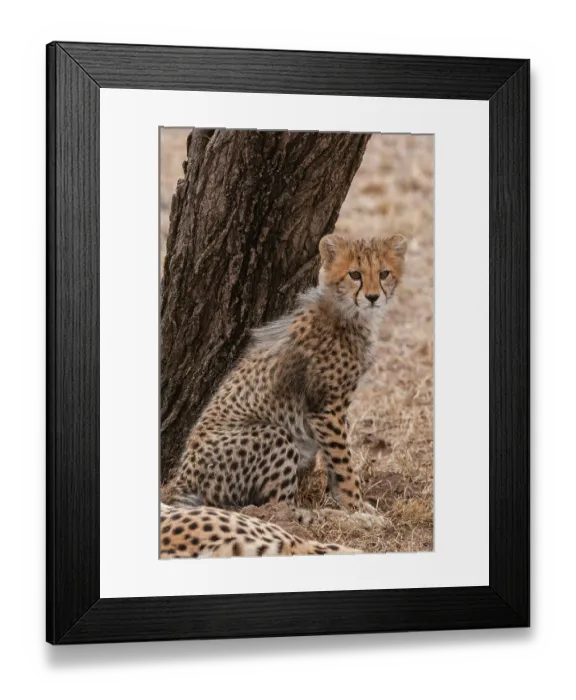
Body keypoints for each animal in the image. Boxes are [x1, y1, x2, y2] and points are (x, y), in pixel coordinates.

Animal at [160, 231, 407, 558]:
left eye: (383, 273)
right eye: (355, 274)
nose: (372, 297)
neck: (346, 312)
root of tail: (180, 481)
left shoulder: (333, 410)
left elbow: (335, 461)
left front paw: (343, 500)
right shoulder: (326, 408)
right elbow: (344, 463)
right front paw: (355, 506)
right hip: (273, 435)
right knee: (280, 508)